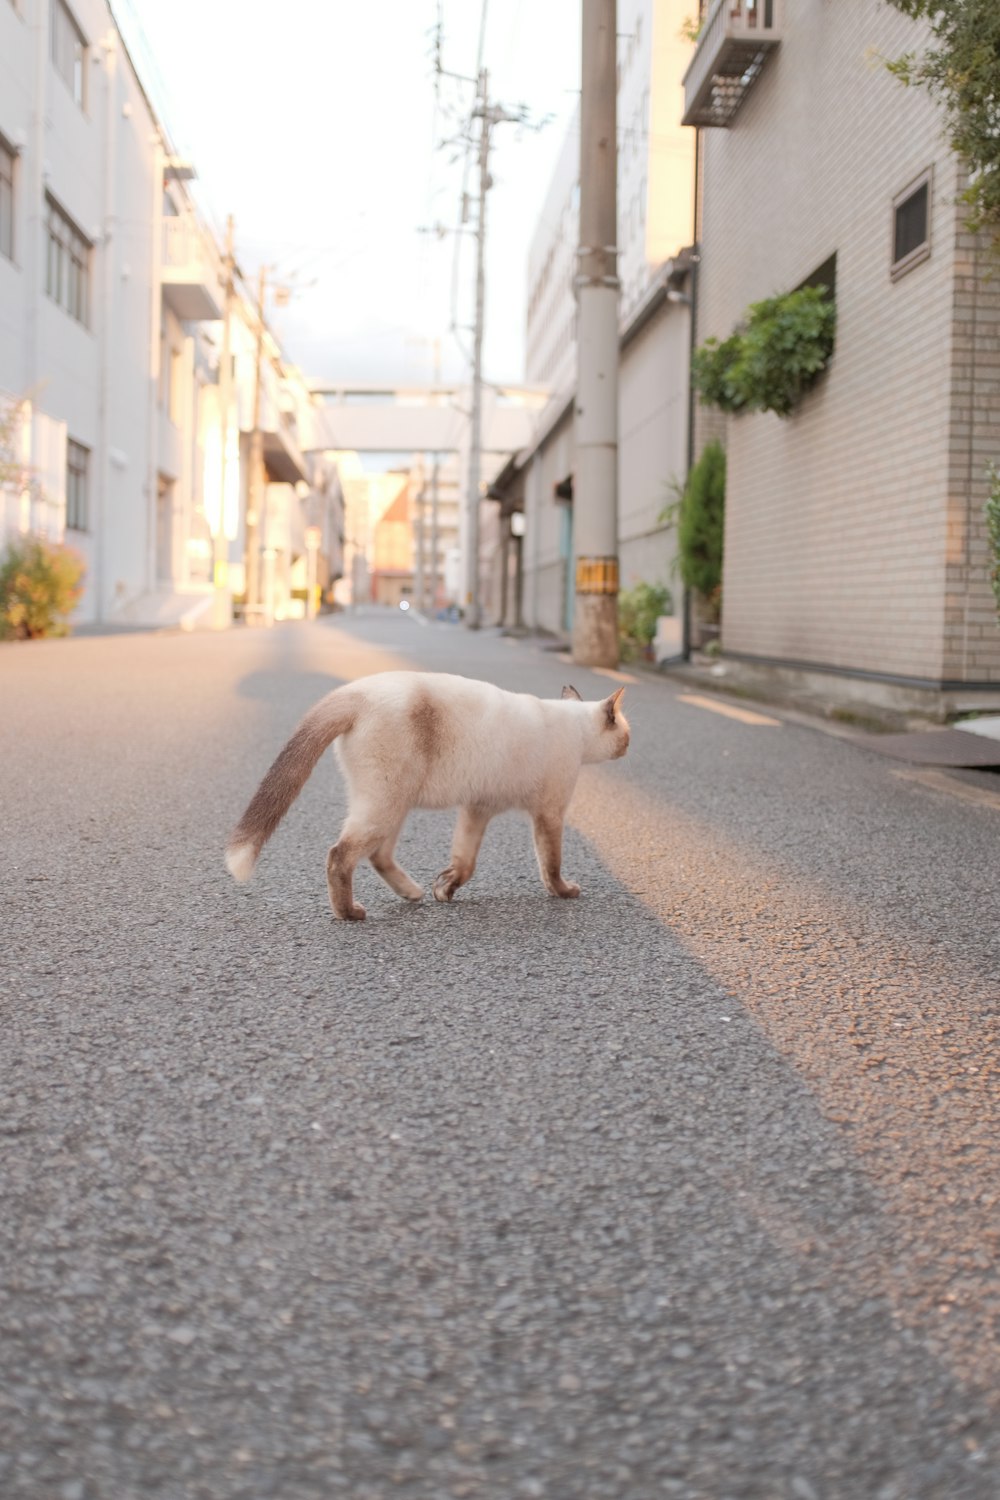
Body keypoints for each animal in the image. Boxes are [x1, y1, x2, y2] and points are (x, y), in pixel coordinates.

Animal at [229, 672, 626, 924]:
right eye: (626, 733)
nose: (627, 748)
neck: (574, 725)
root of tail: (356, 691)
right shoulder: (549, 813)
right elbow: (552, 865)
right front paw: (565, 891)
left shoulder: (478, 809)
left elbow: (465, 862)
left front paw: (444, 889)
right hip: (386, 804)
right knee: (340, 855)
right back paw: (350, 913)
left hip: (394, 803)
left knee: (377, 856)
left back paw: (413, 893)